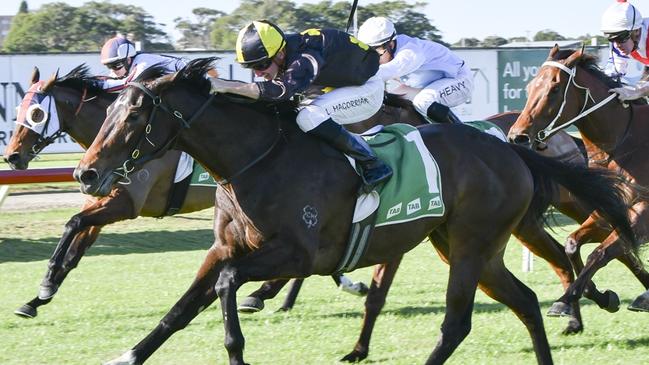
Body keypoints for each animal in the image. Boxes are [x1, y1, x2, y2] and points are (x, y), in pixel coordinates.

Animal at [74, 58, 632, 364]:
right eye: (110, 111)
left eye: (134, 115)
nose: (85, 173)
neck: (258, 159)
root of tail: (510, 147)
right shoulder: (223, 248)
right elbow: (180, 310)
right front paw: (127, 355)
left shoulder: (297, 254)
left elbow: (230, 285)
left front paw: (237, 347)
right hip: (469, 247)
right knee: (526, 302)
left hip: (472, 246)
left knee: (457, 323)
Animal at [508, 45, 648, 312]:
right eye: (529, 87)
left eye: (554, 89)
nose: (517, 137)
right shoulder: (609, 208)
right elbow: (572, 244)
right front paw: (595, 295)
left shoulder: (643, 211)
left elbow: (601, 253)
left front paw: (568, 298)